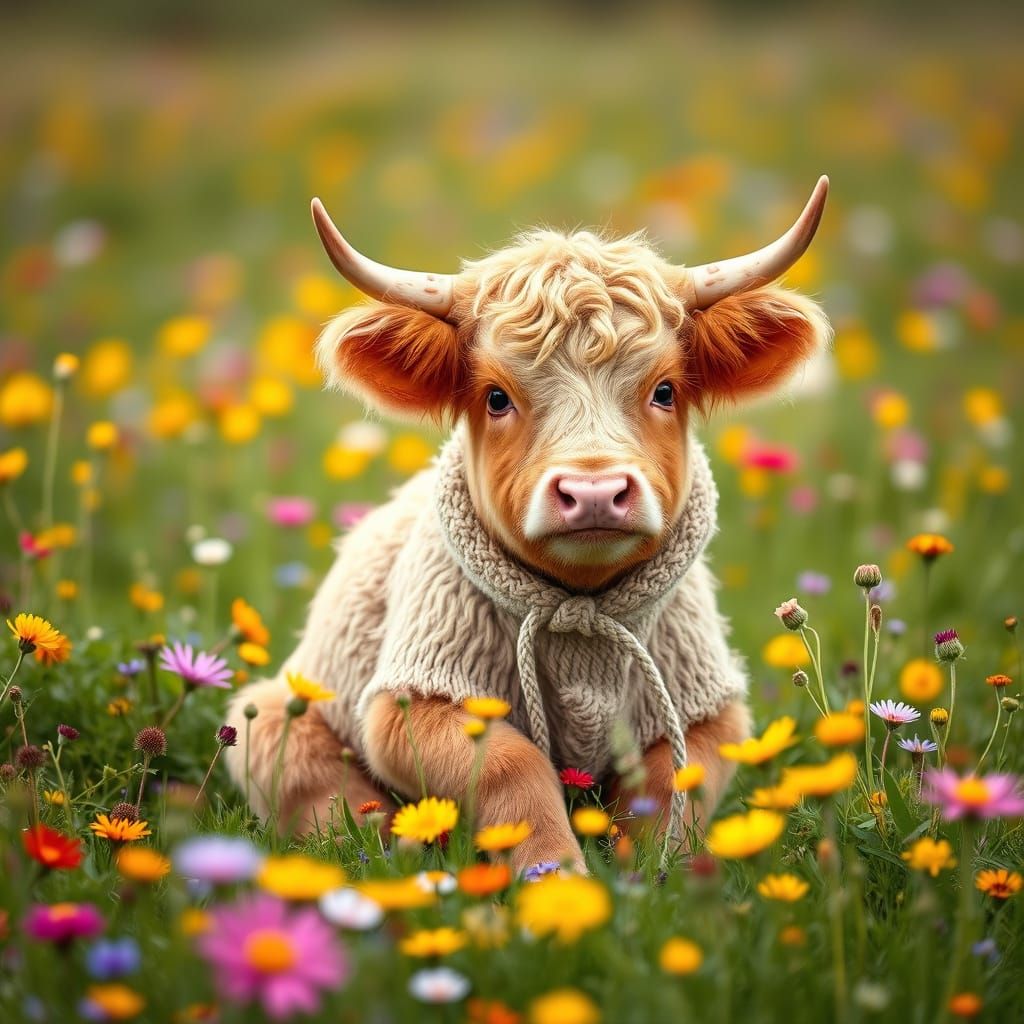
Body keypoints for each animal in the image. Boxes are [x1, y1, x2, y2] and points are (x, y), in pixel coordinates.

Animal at [224, 176, 831, 874]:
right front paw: (557, 875)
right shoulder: (416, 692)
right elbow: (510, 764)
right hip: (275, 721)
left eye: (665, 390)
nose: (594, 492)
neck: (580, 610)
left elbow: (673, 783)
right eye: (496, 397)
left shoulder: (703, 702)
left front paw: (660, 873)